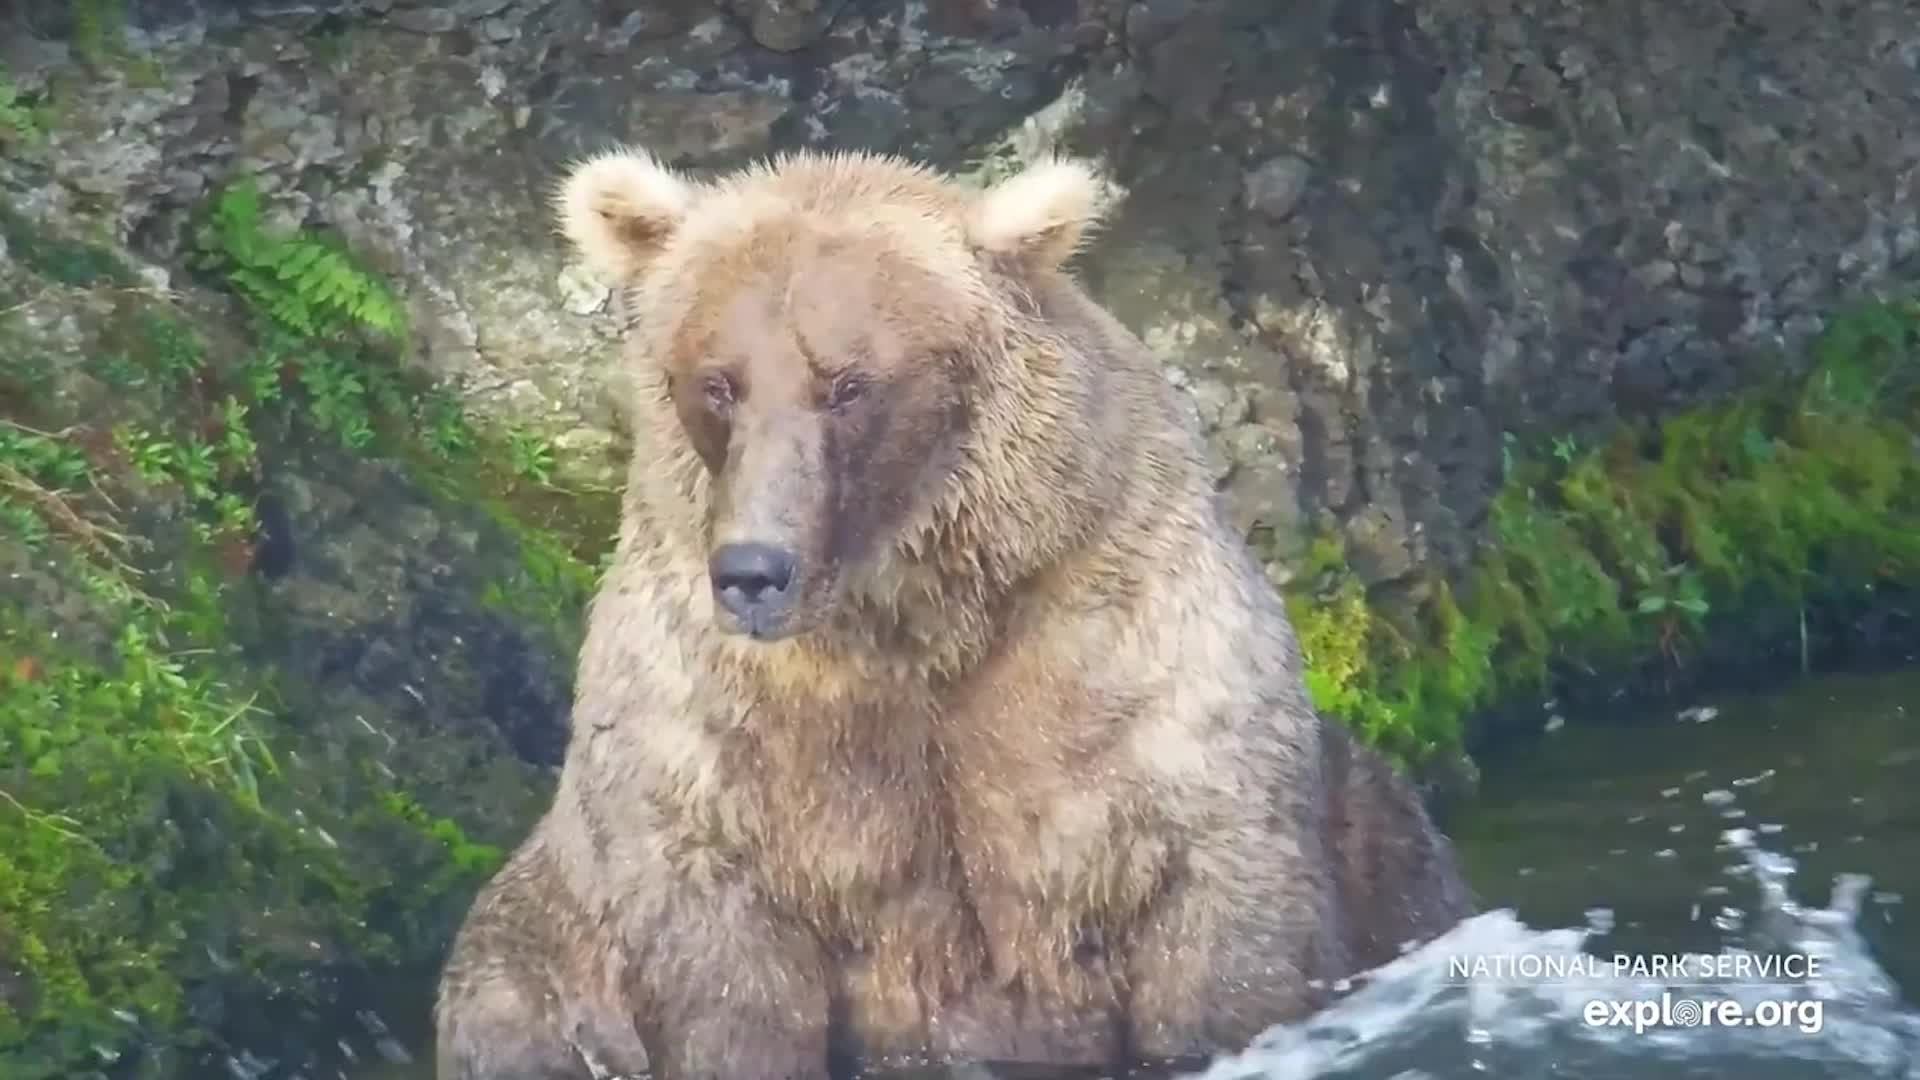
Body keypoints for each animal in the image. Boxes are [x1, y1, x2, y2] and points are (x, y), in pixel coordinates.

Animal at [433, 145, 1473, 1080]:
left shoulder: (1125, 686)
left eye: (849, 383)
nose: (755, 571)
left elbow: (1220, 921)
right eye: (717, 380)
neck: (910, 622)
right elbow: (724, 978)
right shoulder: (709, 754)